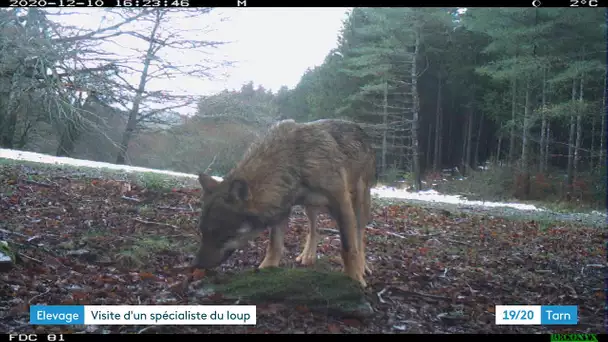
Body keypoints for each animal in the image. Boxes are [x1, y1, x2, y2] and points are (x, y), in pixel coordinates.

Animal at [194, 119, 376, 288]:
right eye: (203, 232)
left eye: (220, 234)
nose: (196, 264)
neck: (295, 163)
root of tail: (360, 128)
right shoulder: (282, 210)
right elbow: (274, 246)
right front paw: (265, 269)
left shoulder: (341, 204)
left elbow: (348, 248)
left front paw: (354, 279)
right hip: (309, 208)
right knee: (314, 230)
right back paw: (308, 256)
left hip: (359, 204)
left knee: (359, 235)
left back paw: (363, 266)